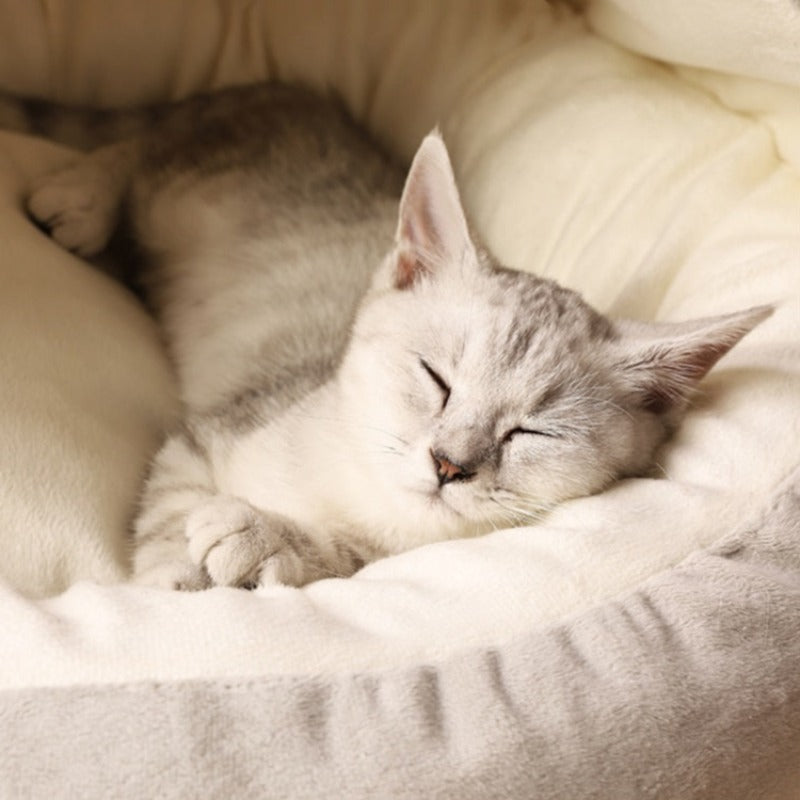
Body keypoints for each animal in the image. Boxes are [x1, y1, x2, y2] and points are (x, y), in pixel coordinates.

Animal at [4, 84, 768, 592]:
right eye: (437, 379)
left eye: (533, 432)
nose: (450, 464)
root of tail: (283, 90)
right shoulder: (205, 438)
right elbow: (168, 519)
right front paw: (172, 581)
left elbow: (339, 559)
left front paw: (267, 539)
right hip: (187, 188)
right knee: (145, 149)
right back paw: (85, 197)